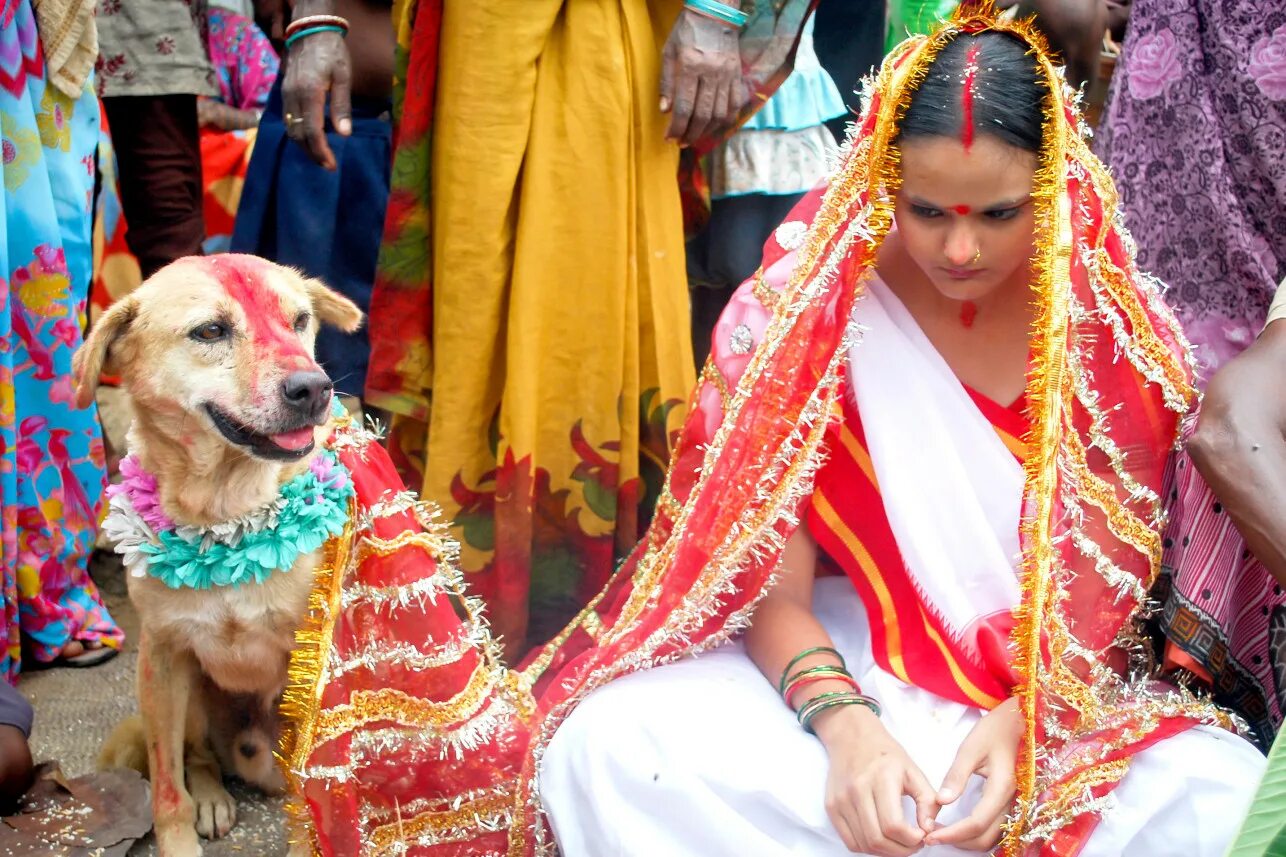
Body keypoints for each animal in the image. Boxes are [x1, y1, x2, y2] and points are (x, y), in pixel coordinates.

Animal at [75, 254, 362, 854]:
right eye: (210, 331)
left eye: (300, 321)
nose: (316, 388)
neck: (226, 521)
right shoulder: (161, 655)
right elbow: (167, 786)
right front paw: (179, 836)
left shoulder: (315, 665)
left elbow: (315, 791)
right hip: (187, 696)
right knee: (198, 759)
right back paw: (210, 795)